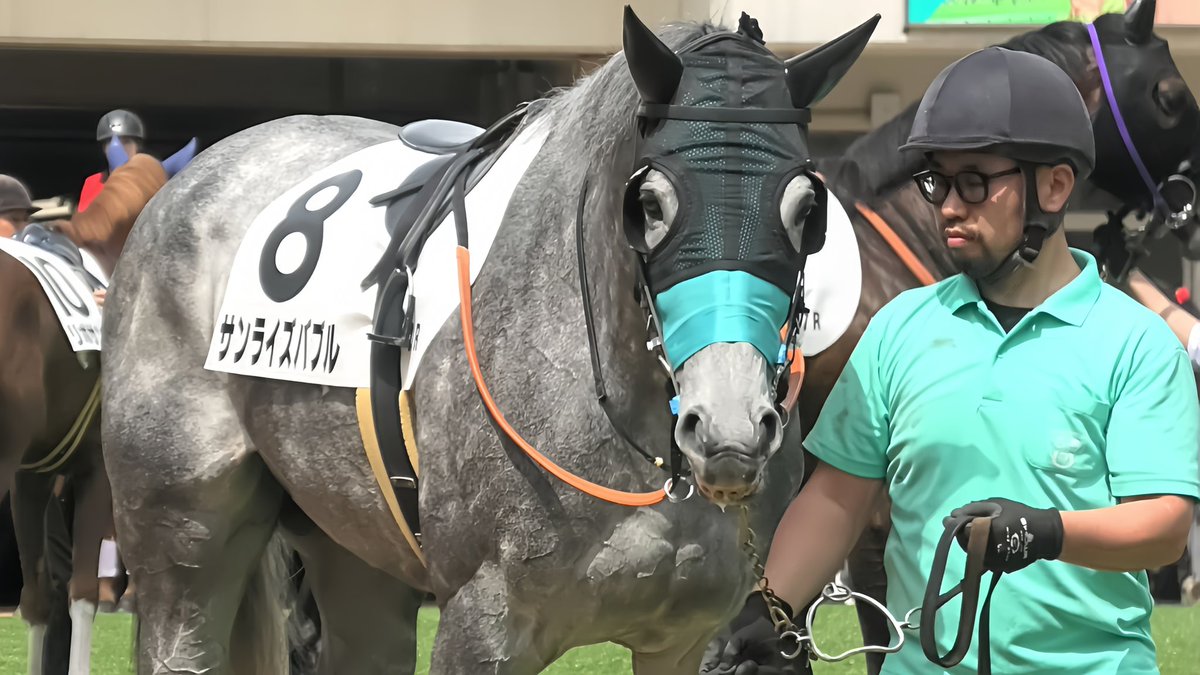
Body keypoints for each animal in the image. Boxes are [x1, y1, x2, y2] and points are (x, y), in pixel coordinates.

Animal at [100, 8, 881, 674]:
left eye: (809, 207)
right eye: (649, 201)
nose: (727, 429)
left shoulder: (686, 639)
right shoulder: (483, 625)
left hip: (352, 551)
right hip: (181, 541)